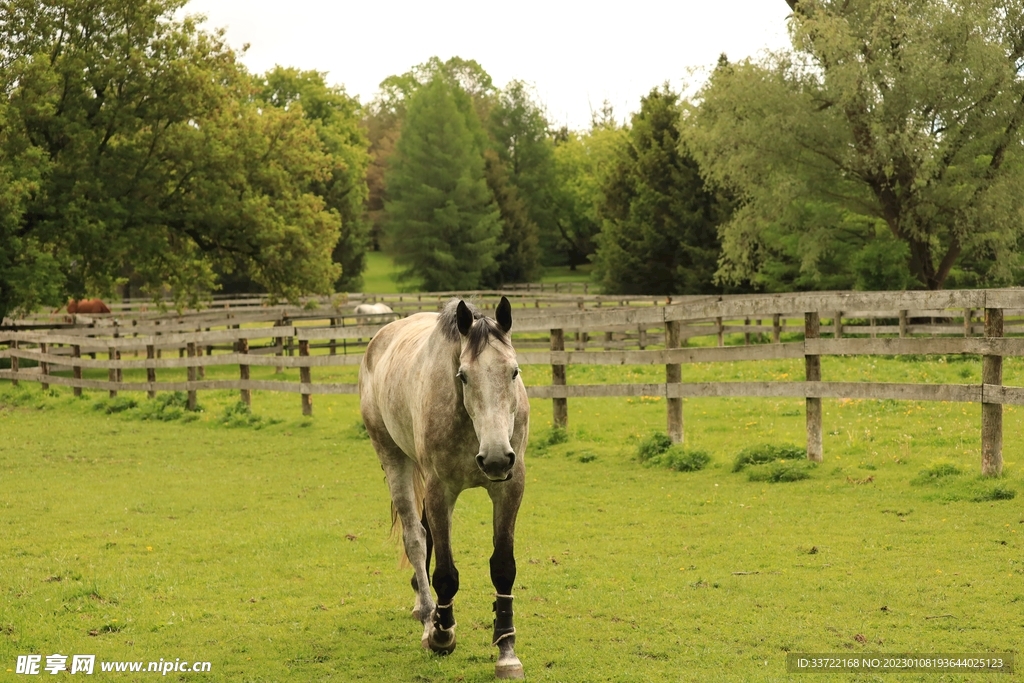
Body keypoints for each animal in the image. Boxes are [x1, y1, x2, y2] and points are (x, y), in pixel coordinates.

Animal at [359, 297, 528, 679]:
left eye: (513, 372)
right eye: (463, 376)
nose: (496, 459)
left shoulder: (510, 488)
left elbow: (503, 567)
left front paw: (507, 652)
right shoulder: (440, 490)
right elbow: (446, 574)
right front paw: (441, 634)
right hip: (393, 458)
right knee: (415, 538)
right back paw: (426, 614)